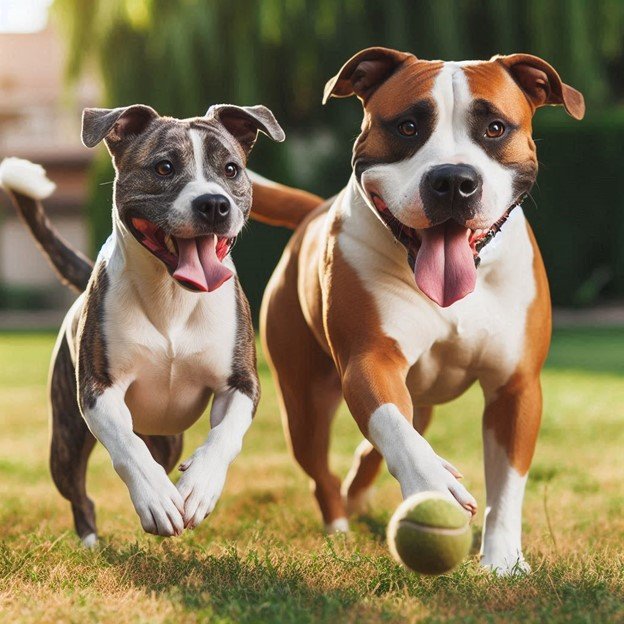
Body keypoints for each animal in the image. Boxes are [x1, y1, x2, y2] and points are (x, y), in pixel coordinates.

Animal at [249, 48, 584, 576]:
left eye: (495, 128)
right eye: (407, 127)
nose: (453, 180)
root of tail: (312, 213)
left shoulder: (516, 387)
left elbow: (507, 482)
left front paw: (504, 560)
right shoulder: (370, 361)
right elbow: (393, 428)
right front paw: (434, 486)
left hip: (420, 401)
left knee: (378, 446)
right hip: (303, 402)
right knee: (322, 468)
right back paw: (339, 525)